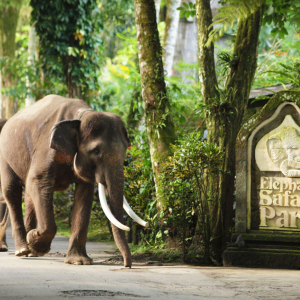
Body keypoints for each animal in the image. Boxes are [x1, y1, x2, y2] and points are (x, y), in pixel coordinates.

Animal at [0, 95, 148, 266]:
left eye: (126, 149)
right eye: (96, 151)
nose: (127, 265)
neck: (81, 116)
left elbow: (84, 194)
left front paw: (79, 262)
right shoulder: (46, 149)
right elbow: (38, 181)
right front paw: (35, 240)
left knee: (29, 196)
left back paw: (31, 251)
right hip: (5, 156)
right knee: (12, 192)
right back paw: (23, 250)